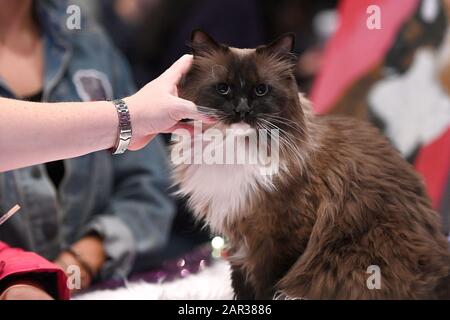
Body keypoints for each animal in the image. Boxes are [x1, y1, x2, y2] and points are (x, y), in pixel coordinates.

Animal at [172, 30, 450, 300]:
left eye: (261, 90)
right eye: (223, 89)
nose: (242, 110)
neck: (235, 151)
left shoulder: (279, 238)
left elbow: (267, 286)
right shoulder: (237, 236)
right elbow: (241, 285)